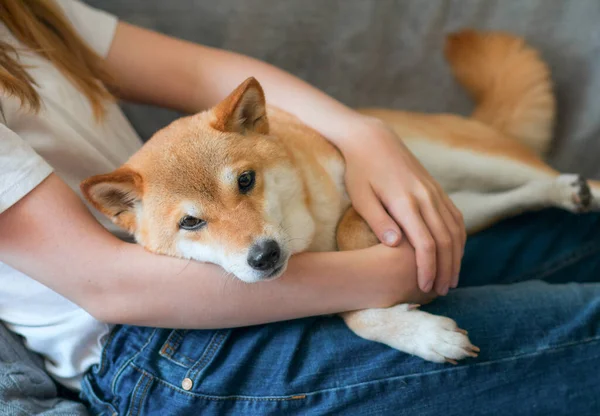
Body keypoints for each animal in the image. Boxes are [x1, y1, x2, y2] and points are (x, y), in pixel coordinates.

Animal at [81, 30, 600, 362]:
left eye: (245, 181)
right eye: (190, 222)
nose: (264, 256)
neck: (307, 231)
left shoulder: (372, 199)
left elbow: (352, 230)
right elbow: (352, 310)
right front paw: (420, 334)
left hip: (469, 160)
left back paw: (580, 188)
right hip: (462, 208)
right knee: (518, 194)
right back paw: (564, 193)